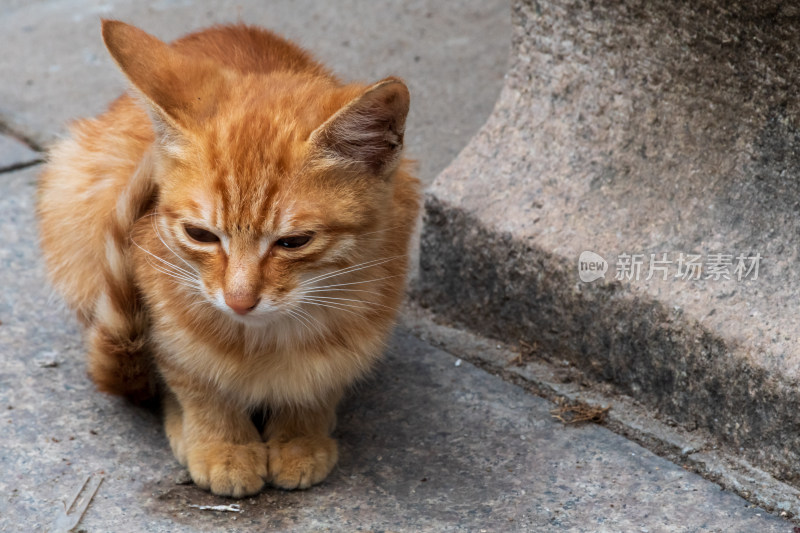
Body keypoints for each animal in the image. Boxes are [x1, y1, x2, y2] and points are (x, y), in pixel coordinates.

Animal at [39, 19, 418, 494]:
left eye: (294, 242)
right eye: (200, 235)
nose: (239, 300)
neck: (269, 339)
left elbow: (321, 381)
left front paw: (301, 435)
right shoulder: (166, 318)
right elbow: (195, 381)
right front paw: (222, 443)